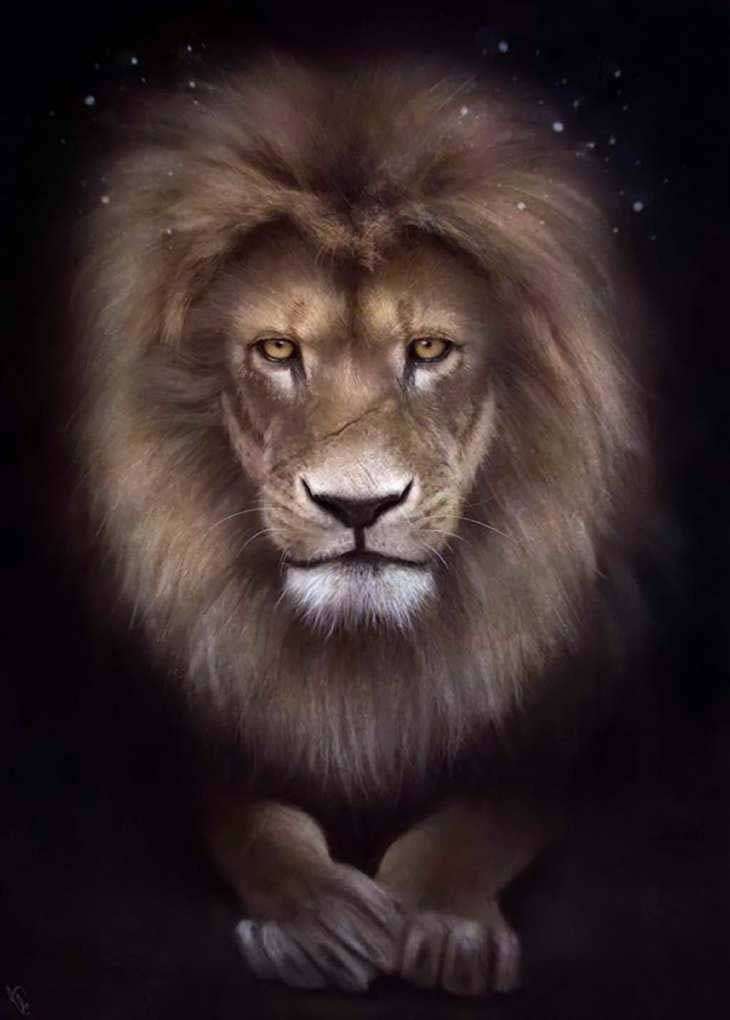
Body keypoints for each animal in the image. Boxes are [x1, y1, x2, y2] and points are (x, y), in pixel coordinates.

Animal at [72, 54, 653, 996]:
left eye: (429, 350)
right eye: (277, 350)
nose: (357, 506)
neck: (363, 651)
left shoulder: (563, 722)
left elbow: (482, 820)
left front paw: (442, 919)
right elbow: (249, 822)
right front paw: (318, 918)